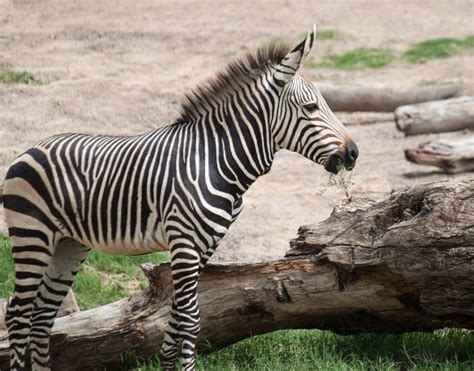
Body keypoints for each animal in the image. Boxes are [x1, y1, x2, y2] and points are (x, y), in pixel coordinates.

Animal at [3, 26, 358, 371]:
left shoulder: (205, 245)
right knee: (18, 315)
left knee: (42, 317)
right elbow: (190, 320)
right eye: (311, 108)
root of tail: (31, 148)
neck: (216, 161)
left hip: (68, 244)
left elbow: (174, 319)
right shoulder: (185, 242)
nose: (353, 152)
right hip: (32, 237)